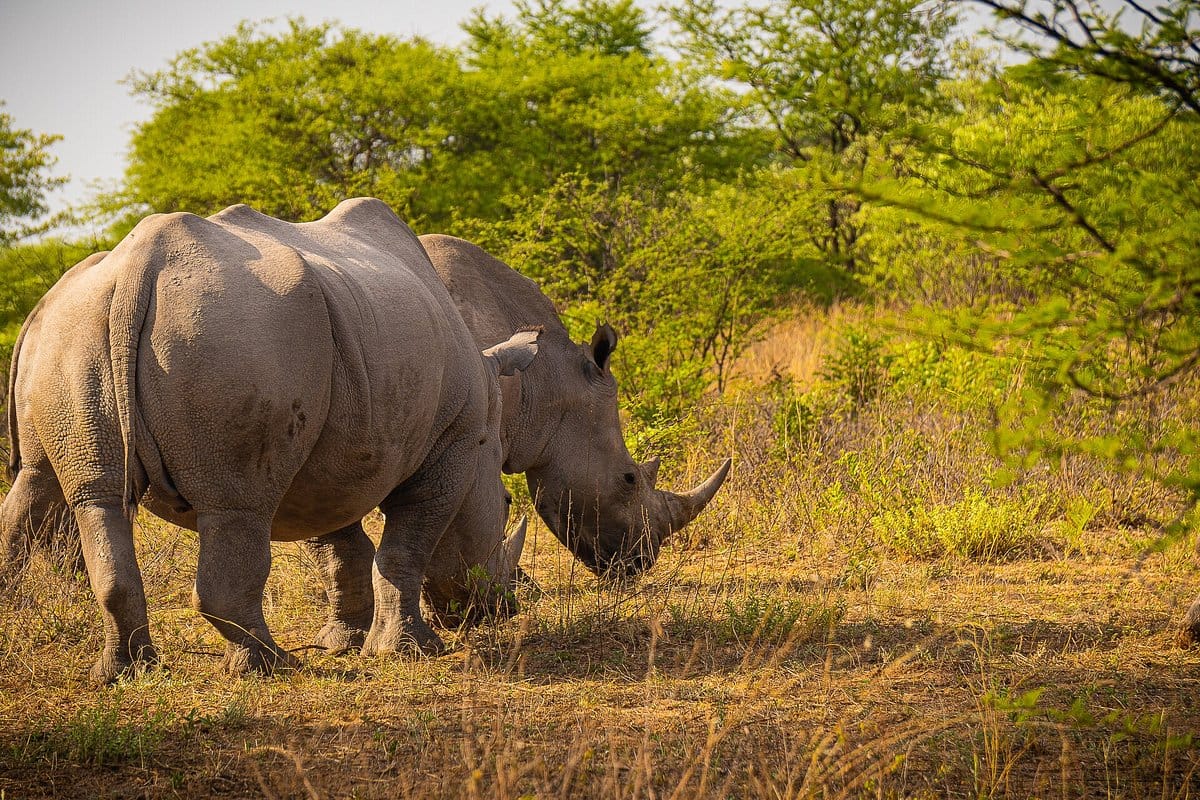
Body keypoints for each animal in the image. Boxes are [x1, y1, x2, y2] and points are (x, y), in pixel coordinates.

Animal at [0, 198, 537, 683]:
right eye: (508, 503)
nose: (506, 606)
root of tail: (137, 267)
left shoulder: (333, 452)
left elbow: (339, 547)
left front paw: (344, 643)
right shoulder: (454, 441)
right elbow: (404, 546)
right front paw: (409, 652)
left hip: (75, 338)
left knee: (85, 494)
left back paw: (124, 674)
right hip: (235, 334)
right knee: (238, 503)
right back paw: (272, 666)